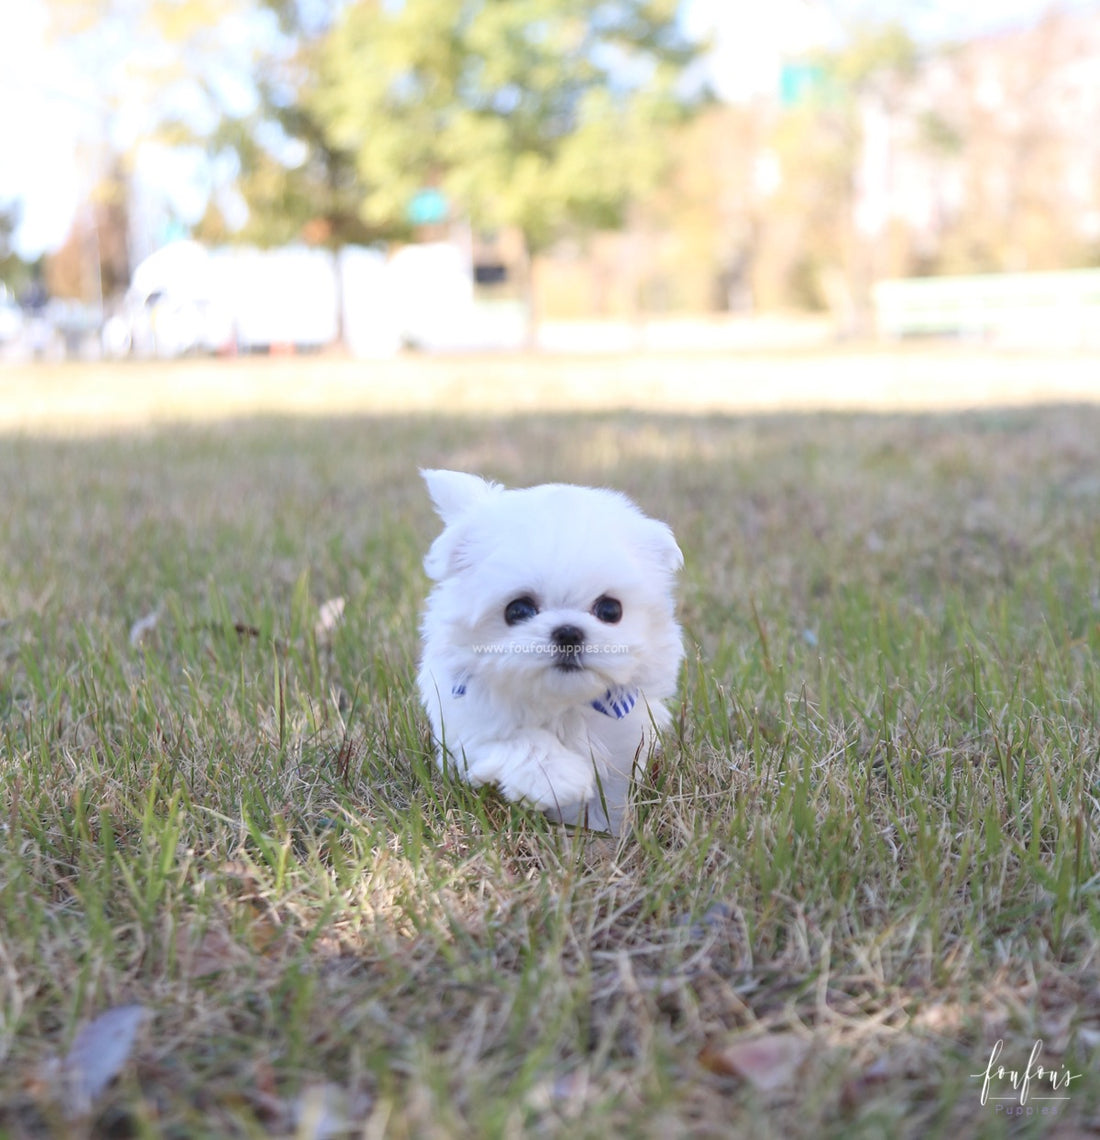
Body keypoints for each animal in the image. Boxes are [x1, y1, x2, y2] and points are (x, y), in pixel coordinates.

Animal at [417, 467, 683, 834]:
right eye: (517, 610)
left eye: (610, 610)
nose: (568, 632)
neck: (563, 704)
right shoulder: (467, 719)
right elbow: (516, 741)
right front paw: (558, 779)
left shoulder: (628, 735)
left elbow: (612, 789)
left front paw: (604, 826)